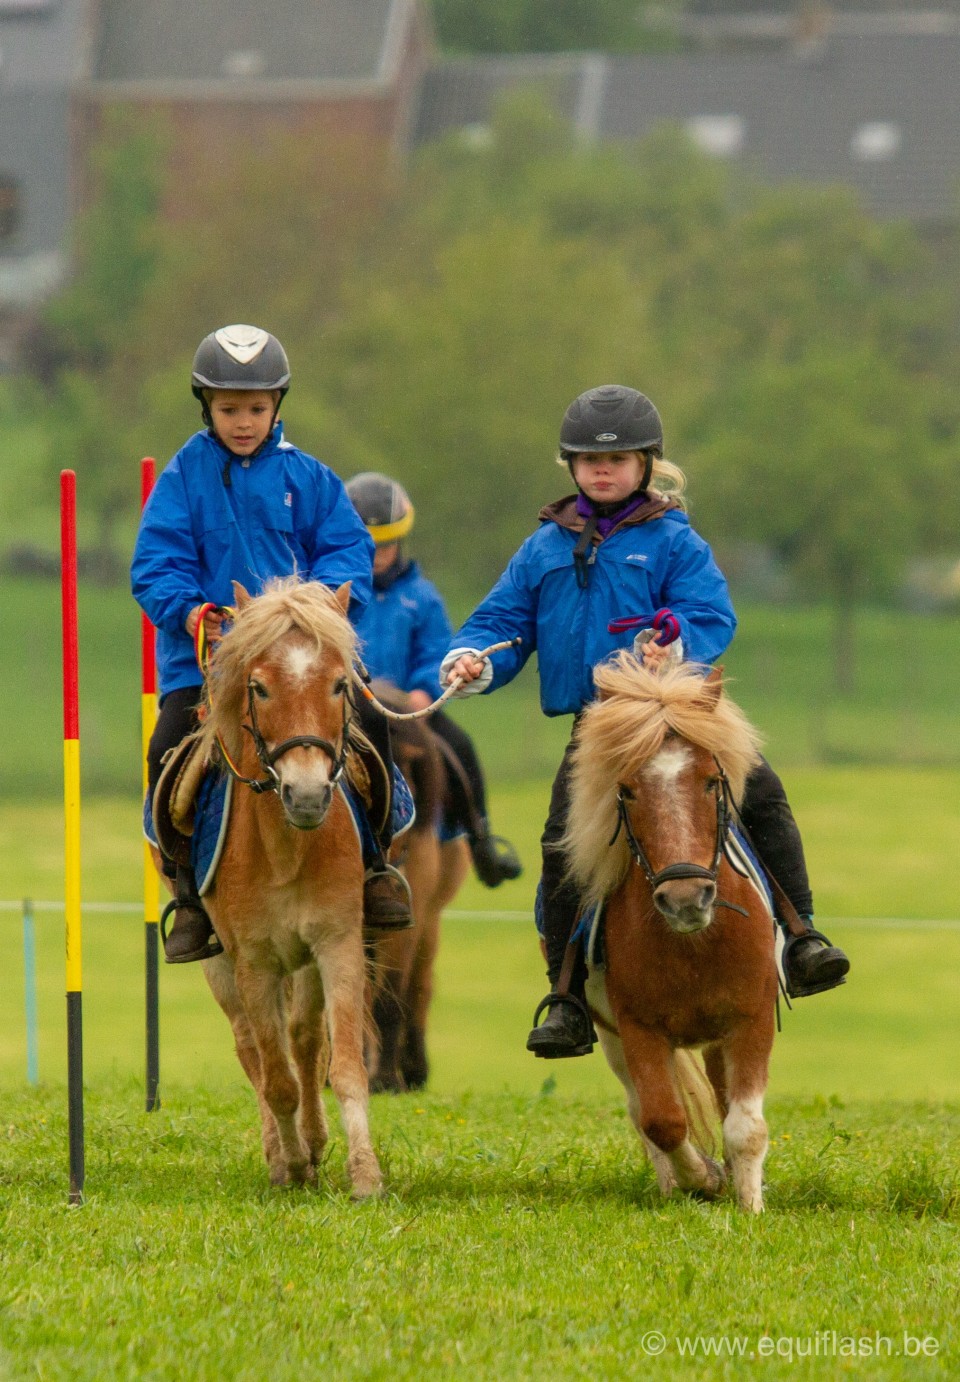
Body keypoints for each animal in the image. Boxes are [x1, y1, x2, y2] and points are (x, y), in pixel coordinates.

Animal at [563, 655, 779, 1210]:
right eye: (627, 789)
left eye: (710, 781)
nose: (685, 899)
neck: (694, 946)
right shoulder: (638, 1029)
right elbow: (662, 1120)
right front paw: (703, 1178)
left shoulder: (751, 1021)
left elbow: (745, 1126)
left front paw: (750, 1205)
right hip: (612, 1036)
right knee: (642, 1111)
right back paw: (672, 1185)